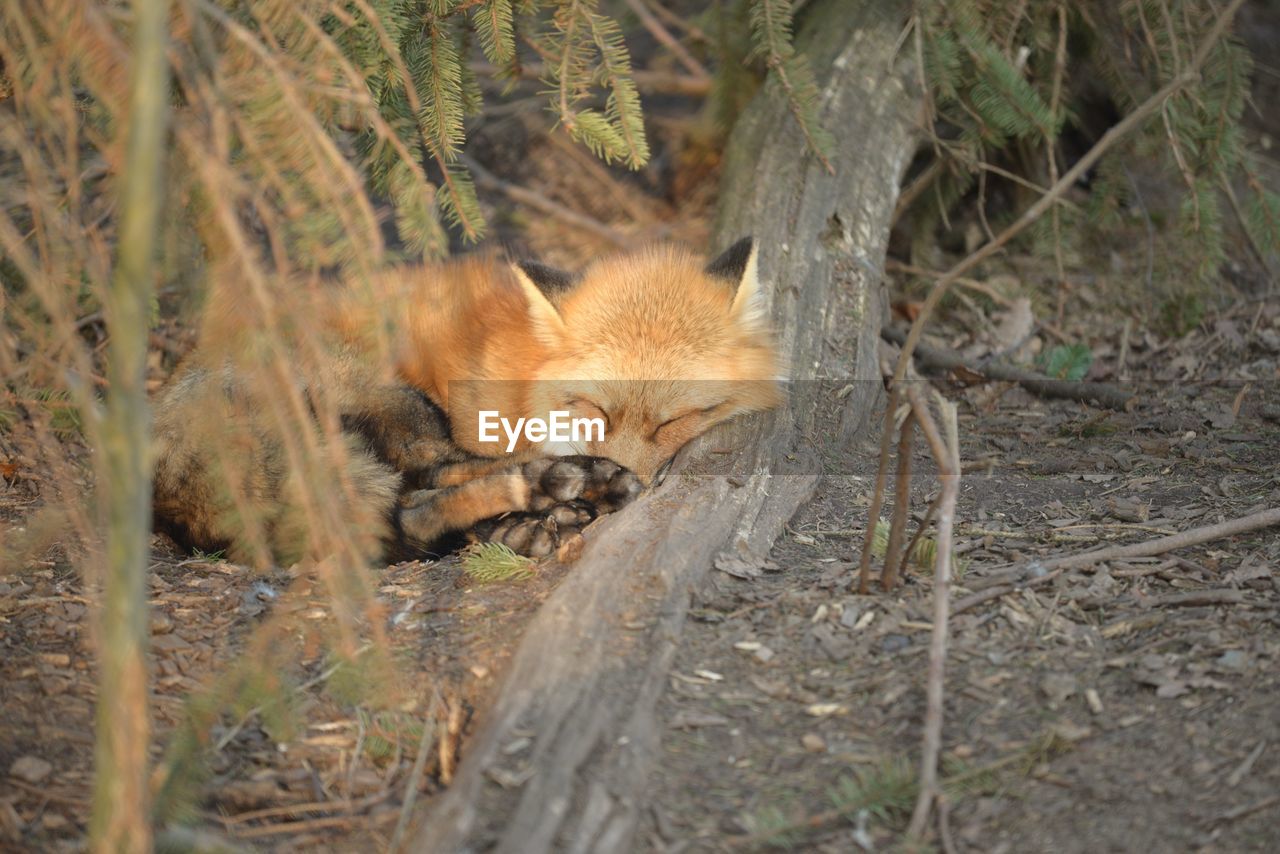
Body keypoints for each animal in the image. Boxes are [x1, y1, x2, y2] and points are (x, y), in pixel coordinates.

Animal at [154, 236, 783, 563]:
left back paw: (528, 519)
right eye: (597, 411)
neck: (527, 373)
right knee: (427, 487)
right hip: (400, 406)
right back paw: (553, 489)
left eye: (673, 421)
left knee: (411, 513)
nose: (629, 477)